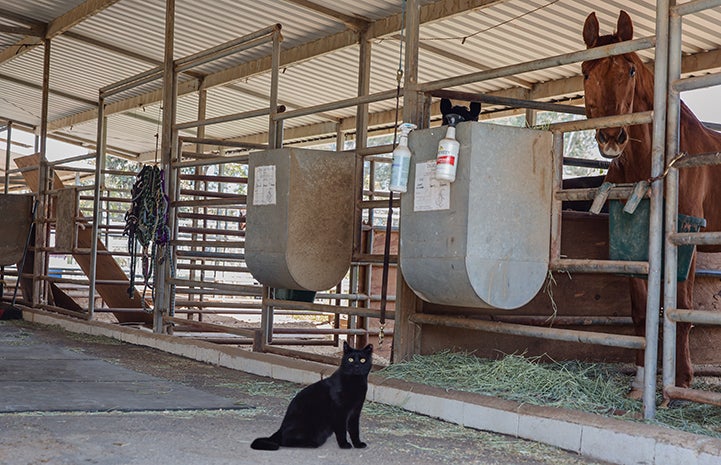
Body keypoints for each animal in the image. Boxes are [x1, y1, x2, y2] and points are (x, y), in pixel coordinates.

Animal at [584, 9, 720, 396]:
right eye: (586, 72)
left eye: (630, 69)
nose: (612, 138)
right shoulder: (634, 241)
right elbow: (641, 311)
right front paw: (640, 381)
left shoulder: (685, 238)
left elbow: (682, 309)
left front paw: (682, 382)